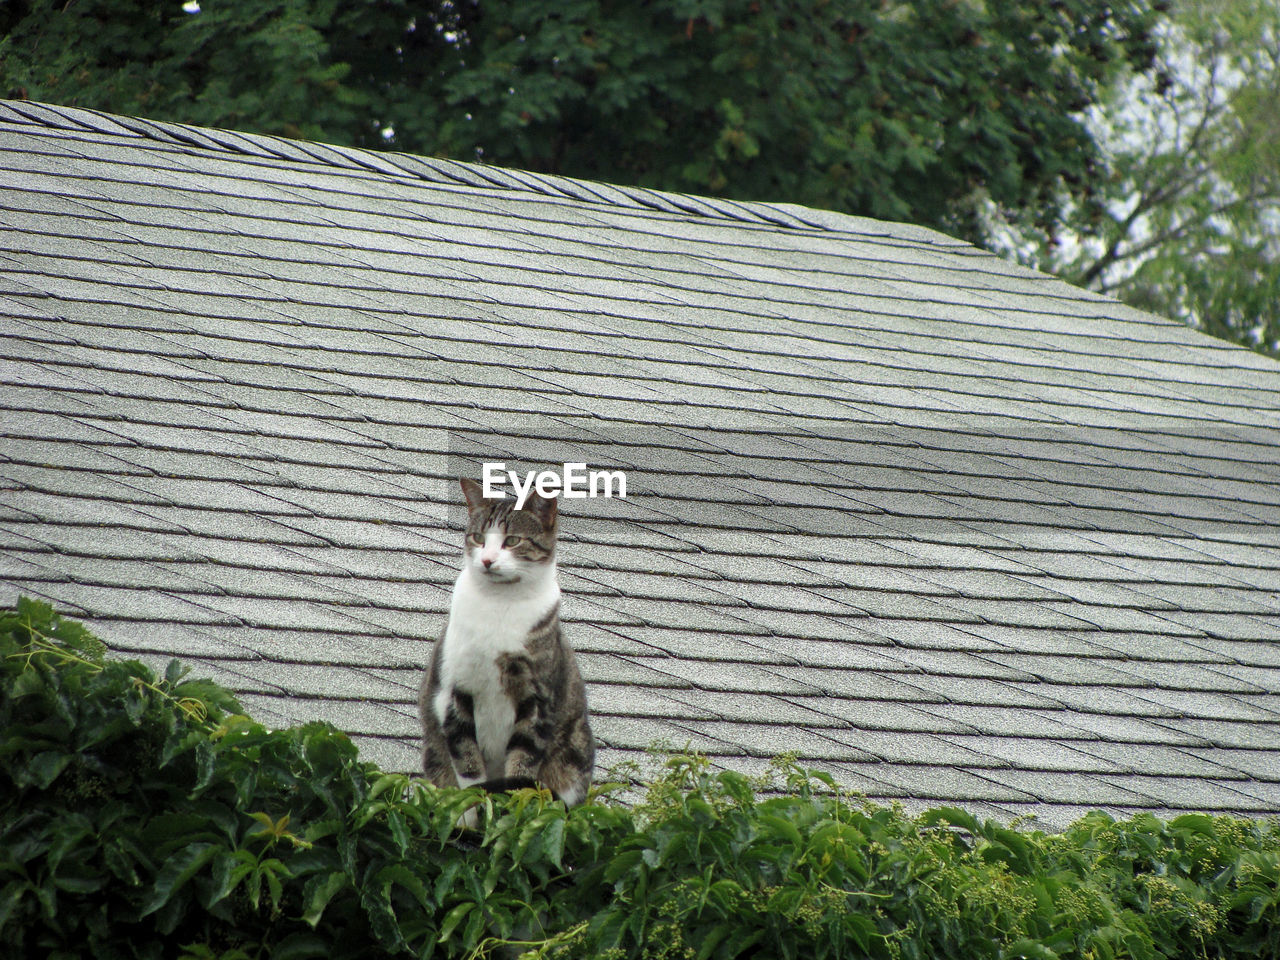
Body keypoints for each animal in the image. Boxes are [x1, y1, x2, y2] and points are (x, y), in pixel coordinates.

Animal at [422, 478, 596, 808]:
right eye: (478, 537)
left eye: (512, 540)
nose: (487, 560)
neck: (498, 603)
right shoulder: (455, 692)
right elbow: (468, 764)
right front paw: (476, 806)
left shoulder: (537, 699)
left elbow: (522, 764)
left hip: (573, 754)